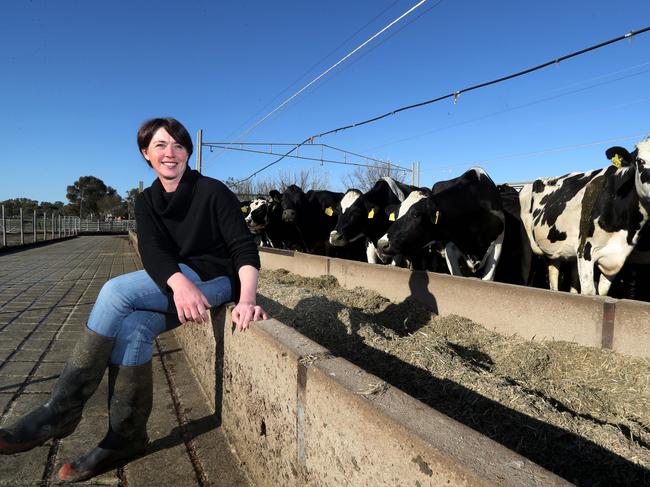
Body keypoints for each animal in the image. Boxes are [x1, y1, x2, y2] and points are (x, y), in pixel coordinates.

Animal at [374, 169, 506, 280]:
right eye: (396, 215)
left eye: (416, 214)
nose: (381, 244)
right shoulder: (450, 246)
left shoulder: (498, 243)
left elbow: (488, 278)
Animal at [520, 137, 650, 298]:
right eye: (640, 161)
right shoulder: (585, 250)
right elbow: (589, 292)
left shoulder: (616, 256)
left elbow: (602, 292)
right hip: (527, 246)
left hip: (556, 251)